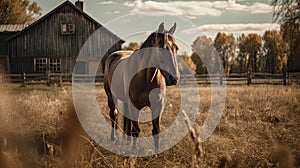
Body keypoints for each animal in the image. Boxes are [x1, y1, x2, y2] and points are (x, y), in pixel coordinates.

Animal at [103, 22, 178, 152]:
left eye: (176, 48)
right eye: (162, 48)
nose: (174, 78)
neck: (146, 78)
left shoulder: (158, 105)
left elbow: (156, 130)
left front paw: (156, 152)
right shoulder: (134, 105)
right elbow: (136, 130)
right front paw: (135, 151)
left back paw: (126, 141)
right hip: (111, 96)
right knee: (114, 115)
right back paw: (114, 138)